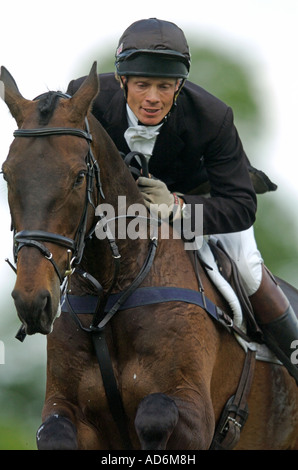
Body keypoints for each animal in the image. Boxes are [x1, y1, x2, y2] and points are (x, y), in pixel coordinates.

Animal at [1, 60, 298, 450]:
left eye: (79, 177)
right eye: (7, 175)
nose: (33, 301)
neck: (113, 292)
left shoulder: (194, 412)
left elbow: (155, 415)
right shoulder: (65, 408)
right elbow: (54, 433)